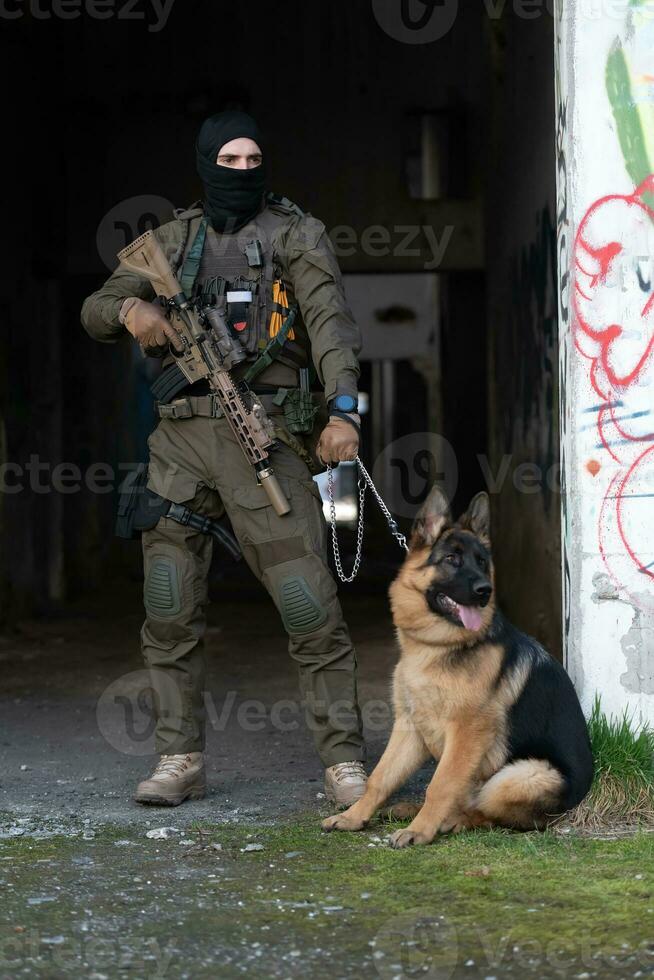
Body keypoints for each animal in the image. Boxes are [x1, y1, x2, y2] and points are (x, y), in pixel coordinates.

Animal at [322, 486, 596, 848]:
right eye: (451, 560)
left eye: (482, 562)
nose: (485, 591)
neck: (438, 647)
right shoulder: (409, 726)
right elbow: (380, 778)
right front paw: (353, 817)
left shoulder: (467, 731)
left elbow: (440, 785)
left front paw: (420, 831)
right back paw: (412, 809)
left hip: (518, 775)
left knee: (492, 813)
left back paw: (451, 820)